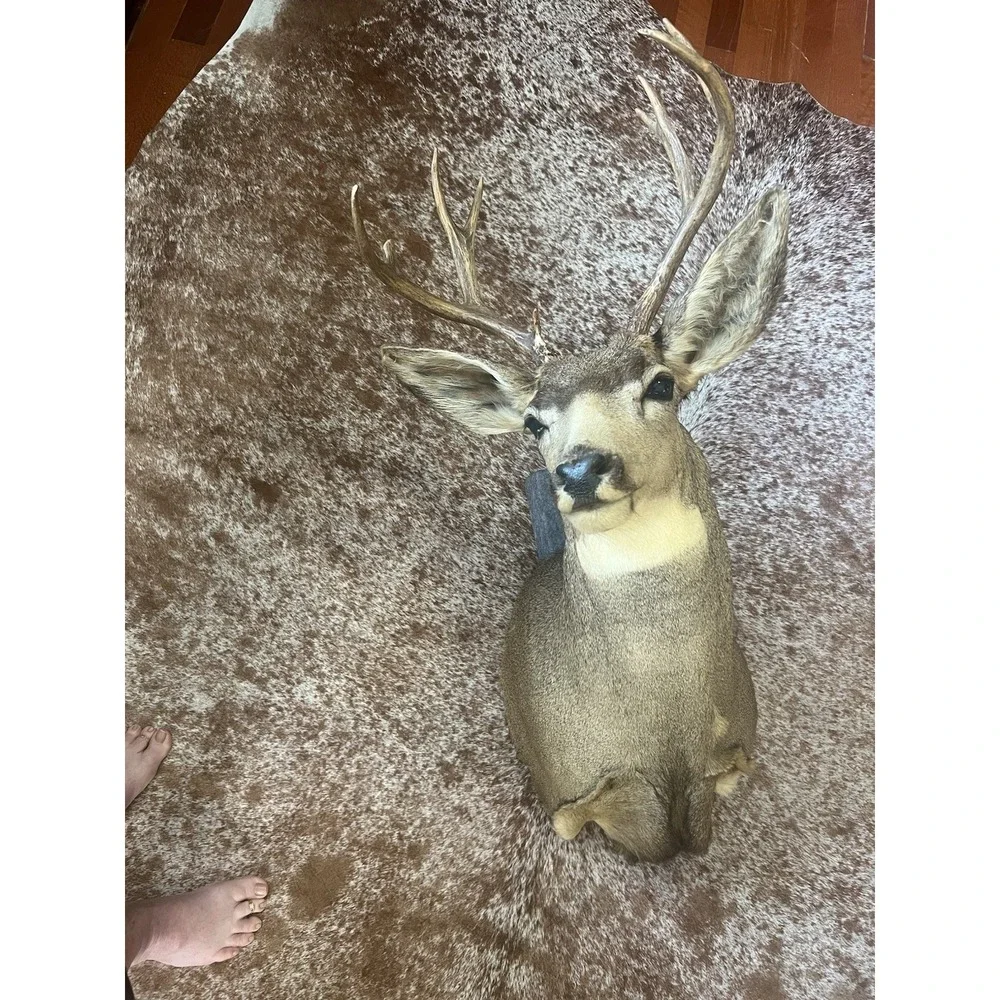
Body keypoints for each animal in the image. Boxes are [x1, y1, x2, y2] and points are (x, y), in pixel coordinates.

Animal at [349, 18, 789, 862]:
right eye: (532, 421)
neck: (663, 731)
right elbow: (592, 817)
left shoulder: (739, 750)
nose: (581, 469)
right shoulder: (566, 793)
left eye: (661, 384)